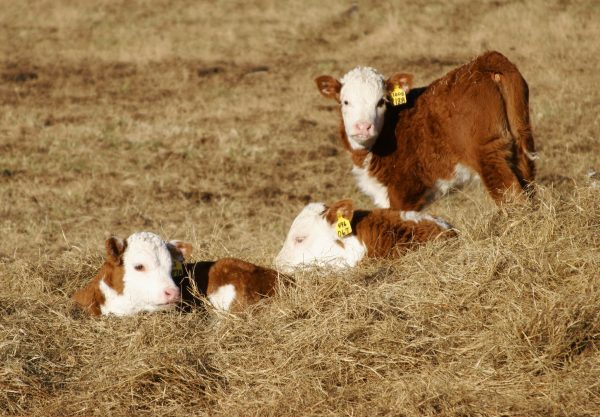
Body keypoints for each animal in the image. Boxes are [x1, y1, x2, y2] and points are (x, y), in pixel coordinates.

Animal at [316, 50, 536, 210]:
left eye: (381, 102)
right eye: (345, 102)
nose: (363, 126)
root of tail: (485, 61)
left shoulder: (403, 191)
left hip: (487, 153)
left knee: (513, 195)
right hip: (521, 137)